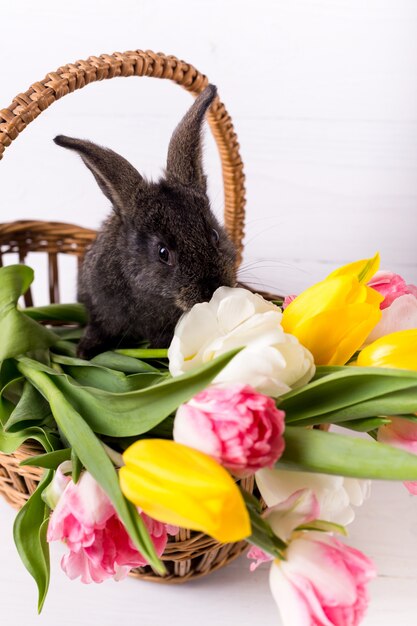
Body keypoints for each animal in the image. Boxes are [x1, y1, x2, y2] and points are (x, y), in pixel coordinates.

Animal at [54, 84, 236, 356]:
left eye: (214, 235)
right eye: (163, 253)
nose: (212, 289)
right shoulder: (99, 312)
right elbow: (97, 329)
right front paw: (84, 352)